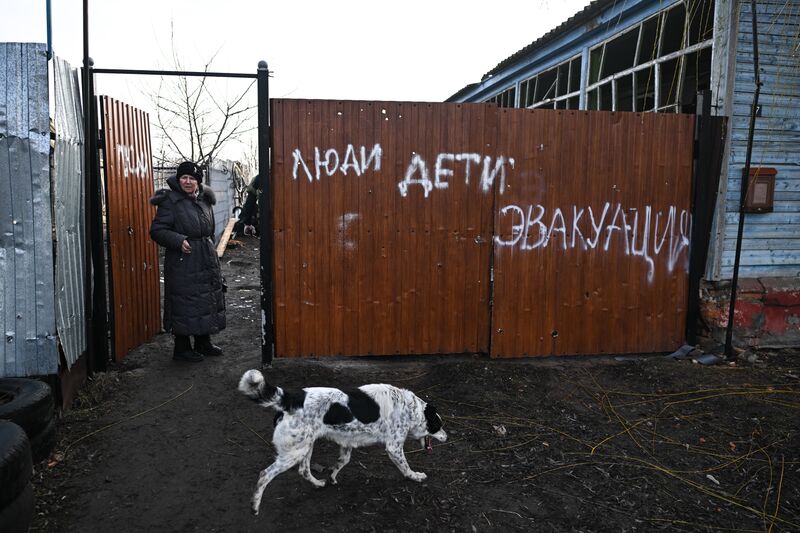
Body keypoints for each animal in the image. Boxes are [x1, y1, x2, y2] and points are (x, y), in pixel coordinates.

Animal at [238, 368, 450, 512]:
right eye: (438, 425)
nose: (447, 437)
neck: (409, 408)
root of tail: (292, 399)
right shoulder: (394, 447)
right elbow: (405, 467)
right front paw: (415, 476)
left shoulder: (347, 442)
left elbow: (342, 462)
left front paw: (332, 476)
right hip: (294, 453)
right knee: (265, 474)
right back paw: (255, 505)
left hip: (306, 446)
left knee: (304, 470)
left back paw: (318, 483)